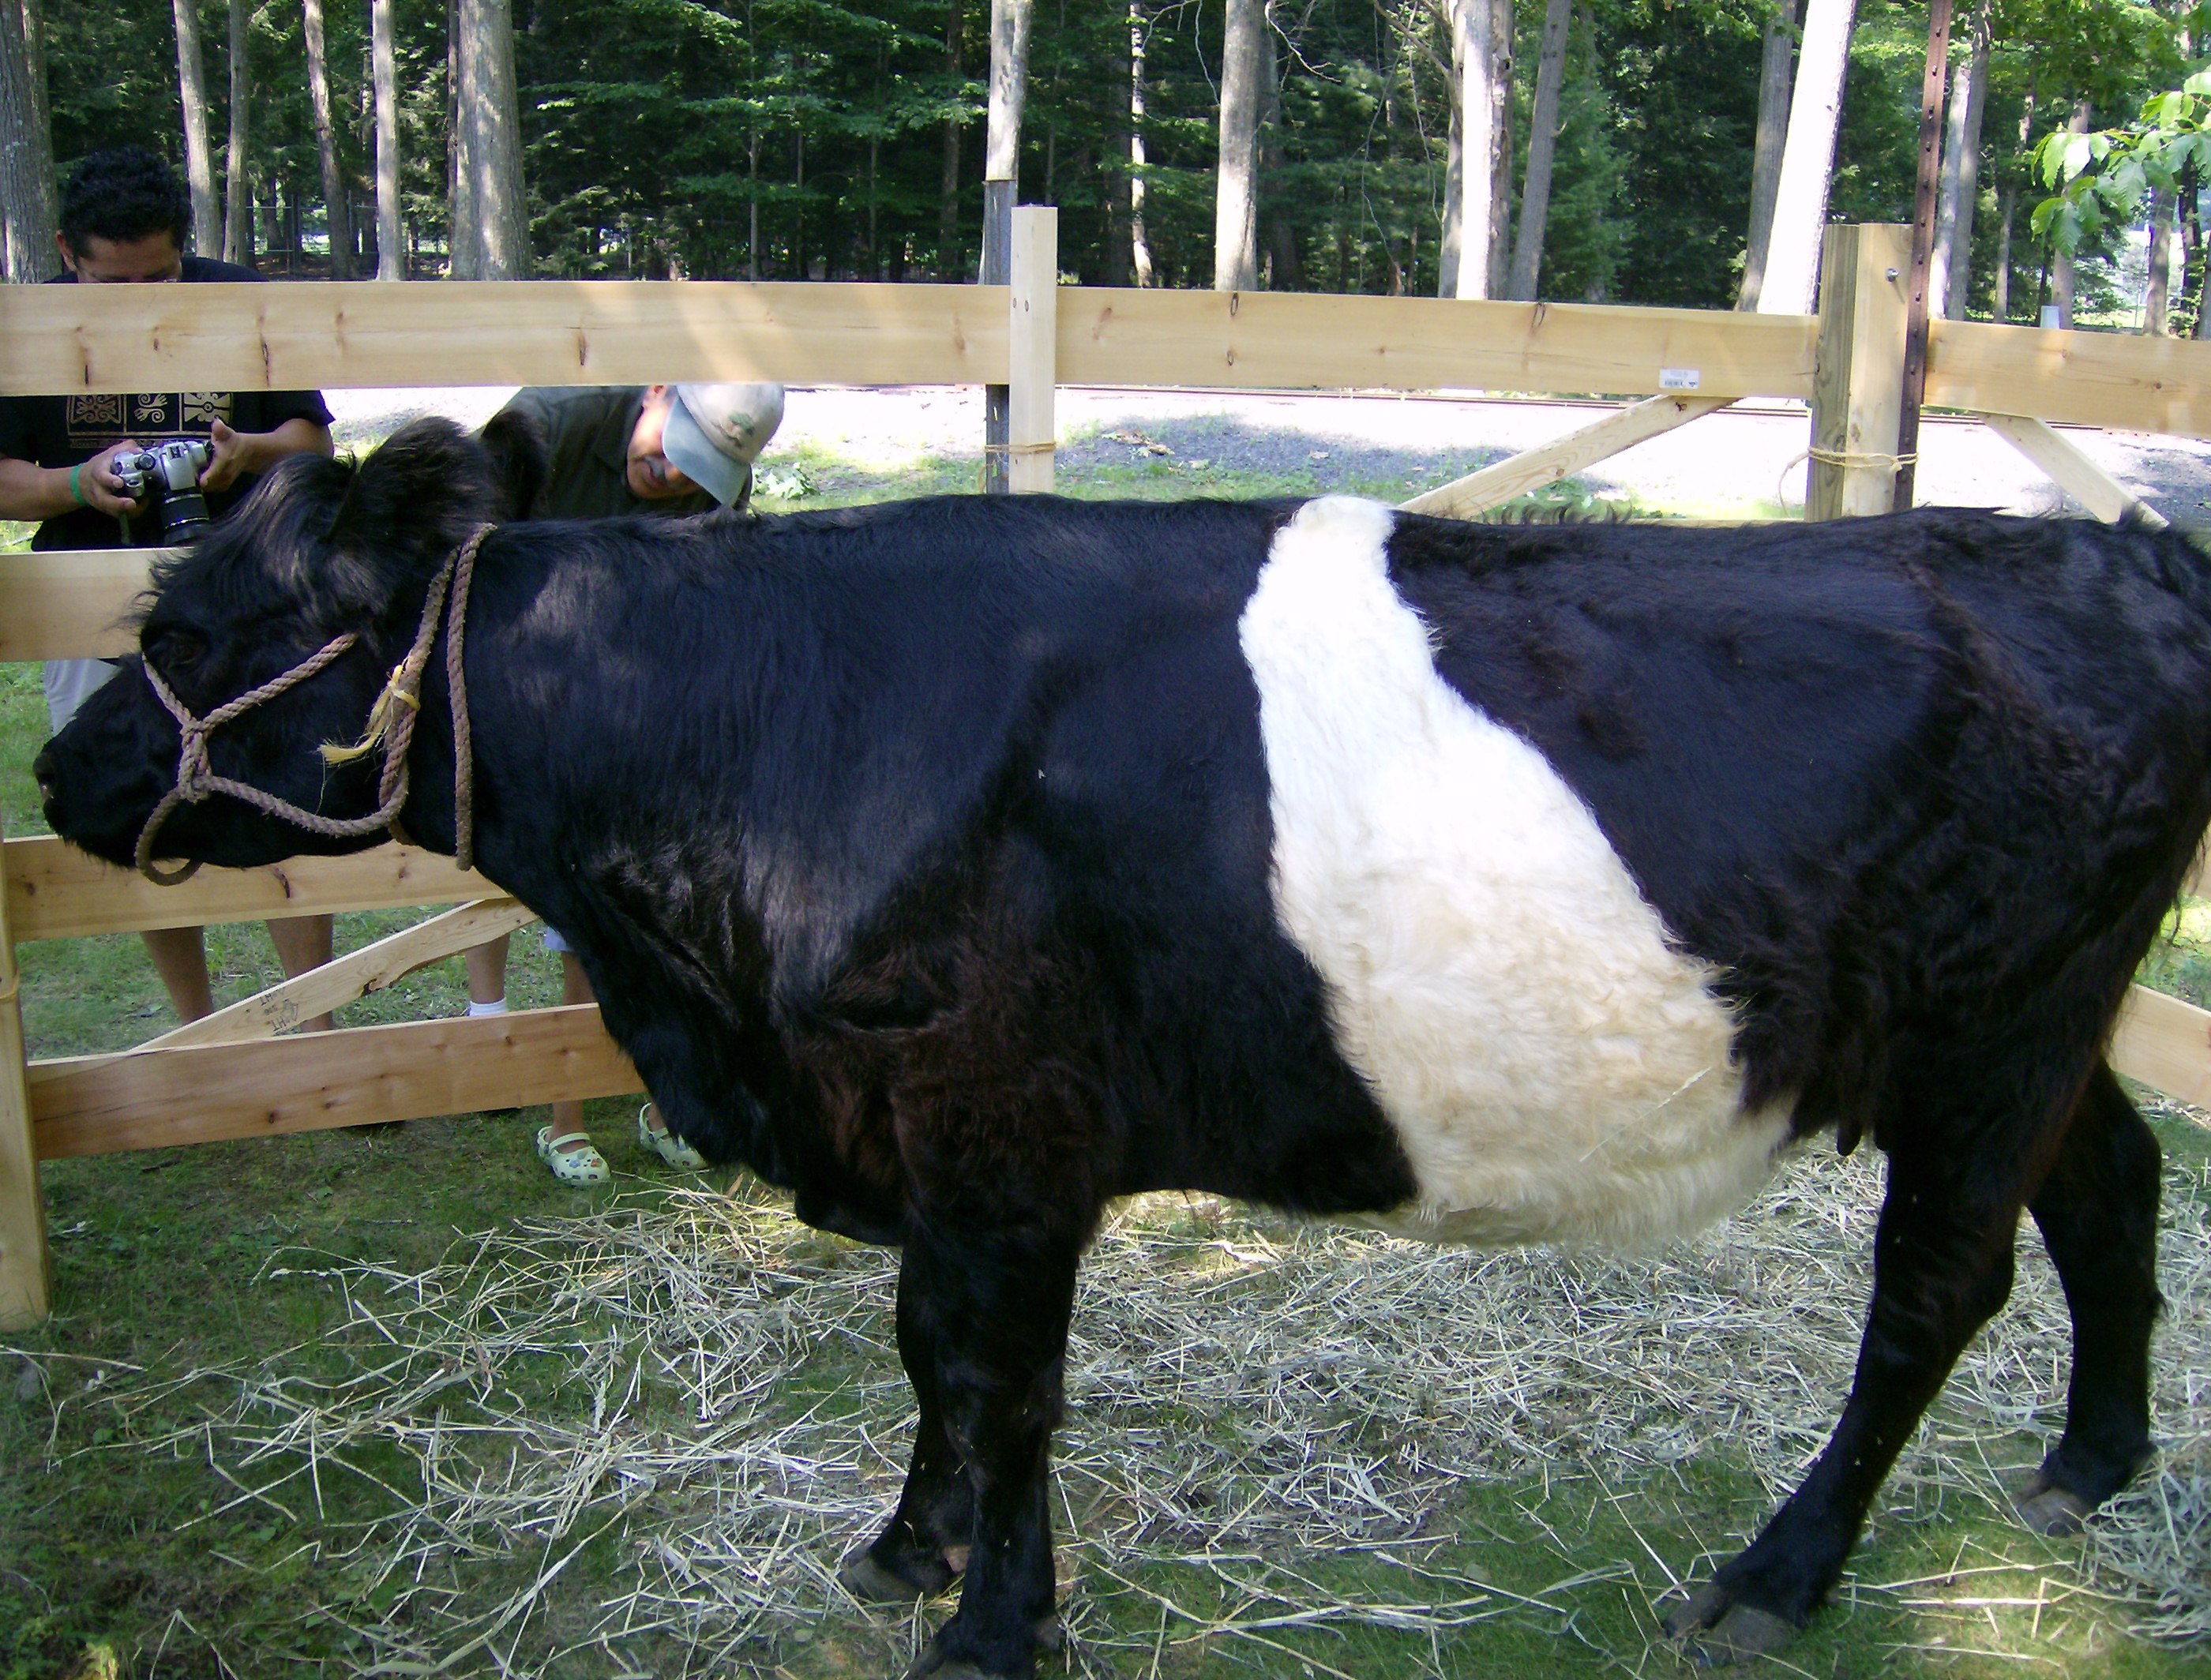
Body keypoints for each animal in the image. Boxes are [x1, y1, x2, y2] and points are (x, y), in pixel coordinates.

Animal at [30, 418, 2211, 1671]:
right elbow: (928, 1353)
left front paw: (991, 1624)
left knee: (1935, 1283)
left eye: (207, 628)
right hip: (2043, 1025)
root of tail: (2110, 544)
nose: (60, 771)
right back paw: (2088, 1460)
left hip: (1999, 1024)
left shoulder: (1000, 1125)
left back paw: (1779, 1572)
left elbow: (1000, 1386)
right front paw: (907, 1550)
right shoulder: (921, 1131)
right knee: (2114, 1185)